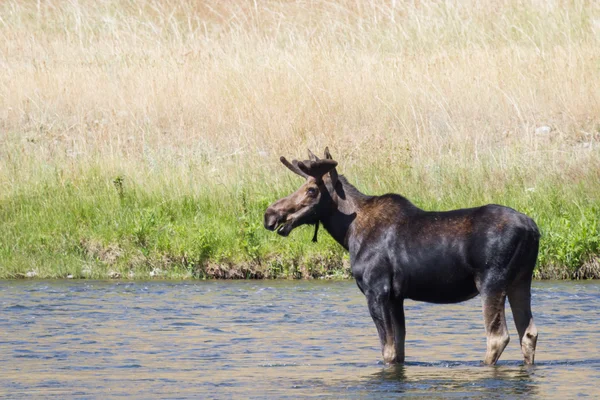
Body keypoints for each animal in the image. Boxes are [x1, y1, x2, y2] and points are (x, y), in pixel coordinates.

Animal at [262, 148, 540, 366]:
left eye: (311, 190)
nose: (269, 214)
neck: (348, 233)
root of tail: (533, 229)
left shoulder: (377, 290)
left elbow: (388, 351)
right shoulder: (397, 296)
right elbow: (400, 351)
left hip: (491, 281)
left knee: (497, 336)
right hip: (520, 280)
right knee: (528, 333)